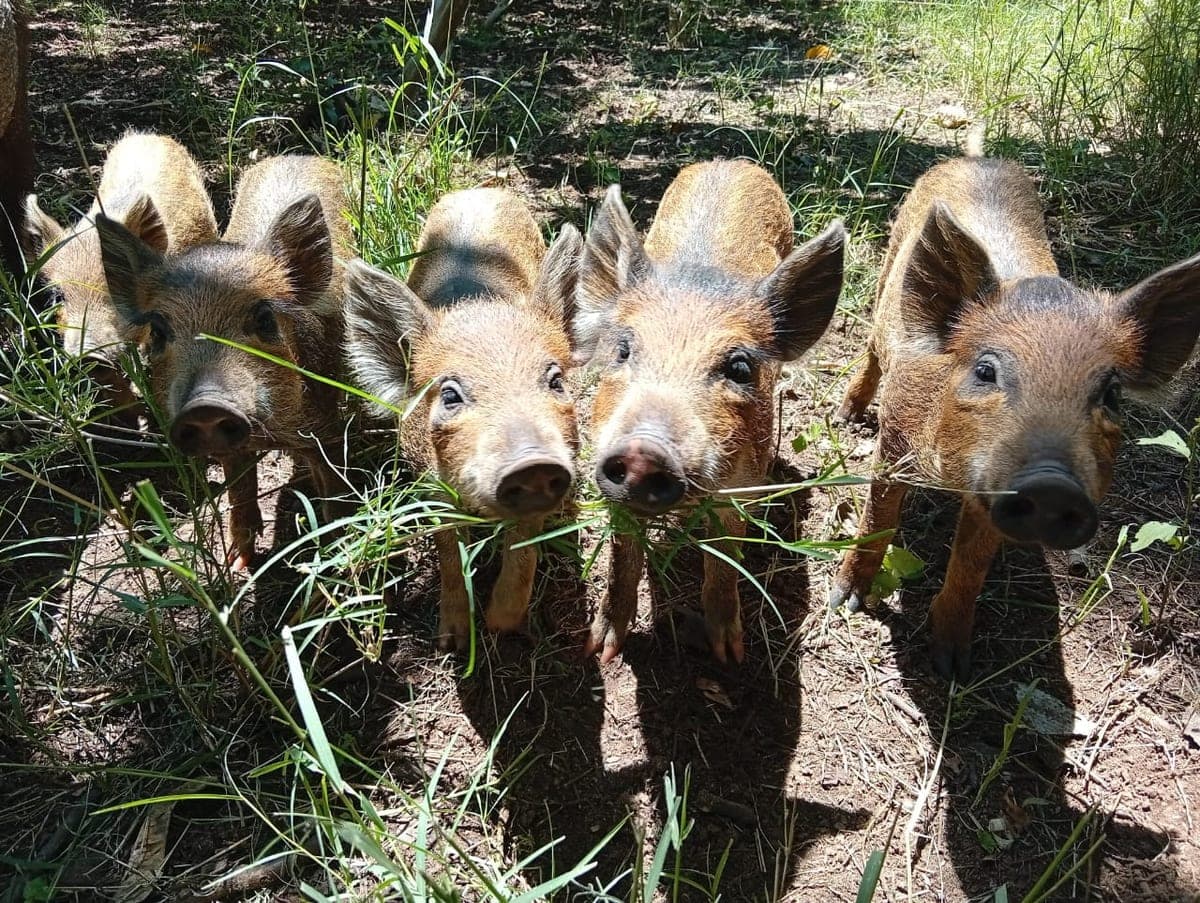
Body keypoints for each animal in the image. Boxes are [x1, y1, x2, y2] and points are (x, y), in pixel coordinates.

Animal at [95, 155, 353, 568]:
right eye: (158, 331)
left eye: (264, 319)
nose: (205, 406)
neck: (271, 434)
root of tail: (294, 155)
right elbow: (239, 495)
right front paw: (239, 565)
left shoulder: (324, 425)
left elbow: (333, 495)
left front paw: (336, 551)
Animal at [343, 187, 581, 651]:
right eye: (451, 394)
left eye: (556, 381)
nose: (533, 463)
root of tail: (482, 190)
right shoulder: (430, 483)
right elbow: (449, 551)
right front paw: (453, 642)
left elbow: (523, 549)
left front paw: (501, 626)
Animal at [574, 160, 846, 664]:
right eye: (623, 349)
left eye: (739, 367)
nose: (644, 450)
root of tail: (731, 162)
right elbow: (623, 559)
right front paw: (599, 651)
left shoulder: (740, 488)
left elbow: (724, 560)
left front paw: (730, 655)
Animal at [830, 150, 1200, 681]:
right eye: (986, 370)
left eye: (1110, 394)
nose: (1052, 484)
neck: (947, 476)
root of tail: (975, 158)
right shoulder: (896, 439)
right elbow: (876, 519)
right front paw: (844, 602)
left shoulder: (990, 496)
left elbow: (970, 566)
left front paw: (954, 668)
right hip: (888, 269)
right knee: (871, 349)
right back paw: (846, 414)